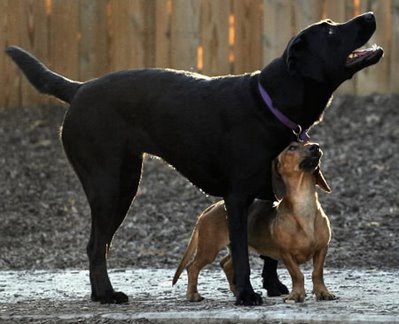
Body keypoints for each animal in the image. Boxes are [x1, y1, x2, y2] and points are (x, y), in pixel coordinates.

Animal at [5, 13, 382, 306]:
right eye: (330, 32)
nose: (370, 15)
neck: (270, 102)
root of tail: (79, 88)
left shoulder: (266, 193)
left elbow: (268, 249)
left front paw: (274, 286)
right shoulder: (237, 197)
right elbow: (242, 253)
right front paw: (246, 294)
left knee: (99, 244)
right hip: (112, 186)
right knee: (96, 245)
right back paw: (106, 295)